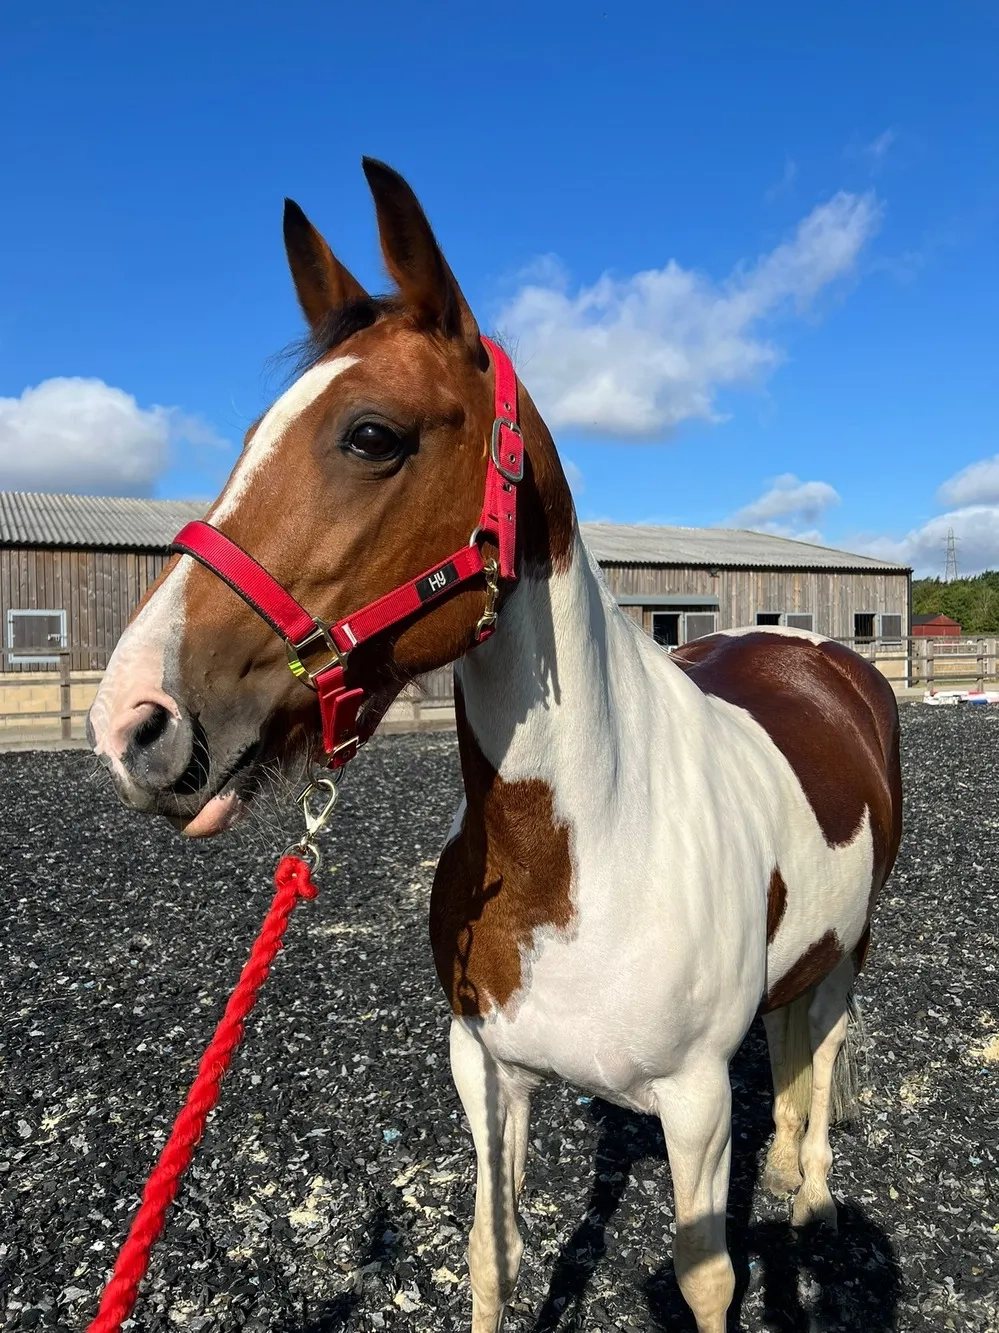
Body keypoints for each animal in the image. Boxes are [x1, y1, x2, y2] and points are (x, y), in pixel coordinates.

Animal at [88, 158, 903, 1333]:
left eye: (371, 435)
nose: (132, 719)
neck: (584, 847)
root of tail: (820, 656)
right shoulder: (484, 1069)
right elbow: (493, 1253)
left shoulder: (698, 1101)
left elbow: (708, 1277)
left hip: (852, 951)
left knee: (824, 1054)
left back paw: (816, 1199)